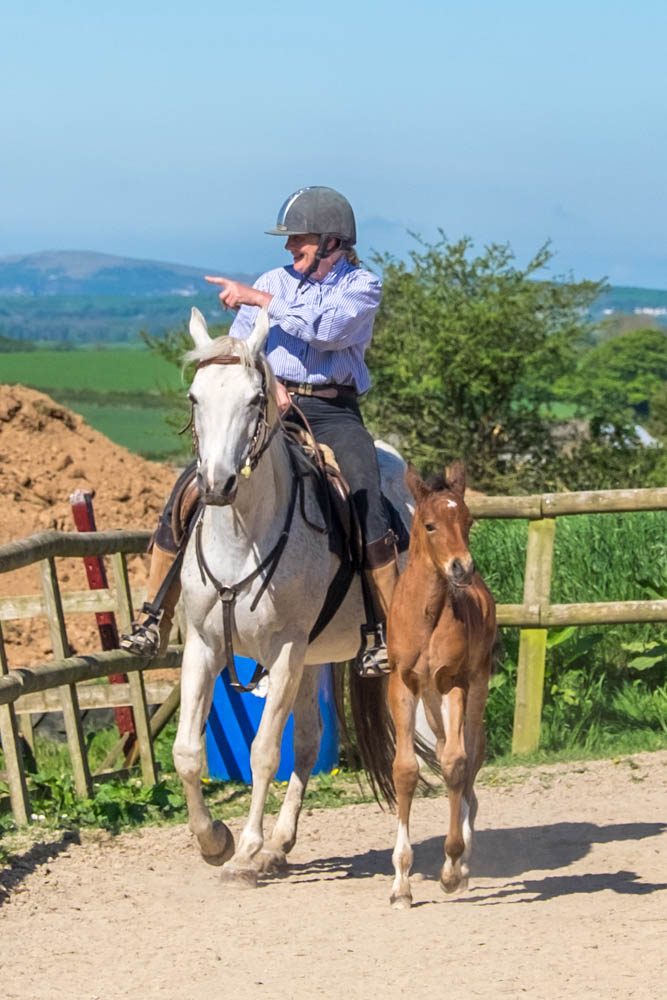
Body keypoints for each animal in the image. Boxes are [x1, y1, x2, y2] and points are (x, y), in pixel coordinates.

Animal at [172, 304, 412, 884]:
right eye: (195, 397)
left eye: (254, 400)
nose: (217, 484)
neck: (242, 536)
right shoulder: (204, 645)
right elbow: (187, 750)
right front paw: (214, 840)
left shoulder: (284, 649)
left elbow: (262, 752)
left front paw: (244, 849)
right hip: (314, 660)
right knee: (306, 744)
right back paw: (281, 844)